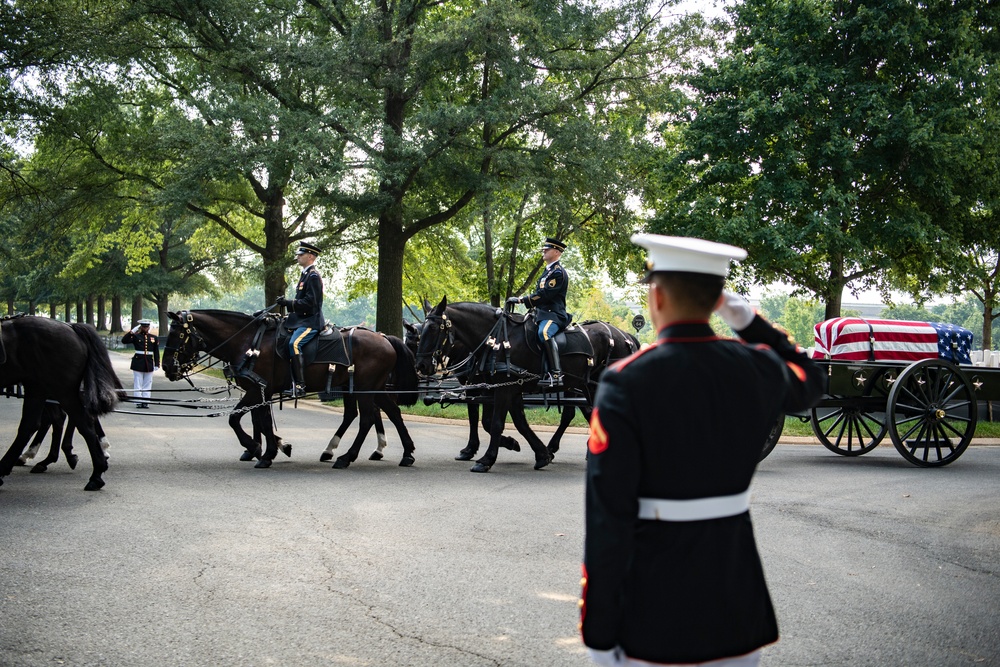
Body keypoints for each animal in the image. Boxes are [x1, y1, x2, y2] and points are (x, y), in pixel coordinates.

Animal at [162, 312, 420, 470]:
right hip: (370, 389)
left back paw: (346, 457)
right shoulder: (261, 393)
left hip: (364, 389)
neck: (249, 341)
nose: (166, 367)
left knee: (366, 418)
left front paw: (259, 450)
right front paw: (272, 448)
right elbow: (259, 421)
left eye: (178, 334)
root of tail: (384, 338)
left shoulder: (257, 390)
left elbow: (238, 419)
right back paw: (405, 453)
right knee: (390, 413)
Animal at [414, 298, 592, 474]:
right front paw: (537, 452)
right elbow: (514, 422)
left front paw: (486, 458)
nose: (420, 366)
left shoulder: (500, 389)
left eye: (433, 328)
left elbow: (494, 423)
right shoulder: (497, 388)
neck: (495, 342)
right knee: (582, 412)